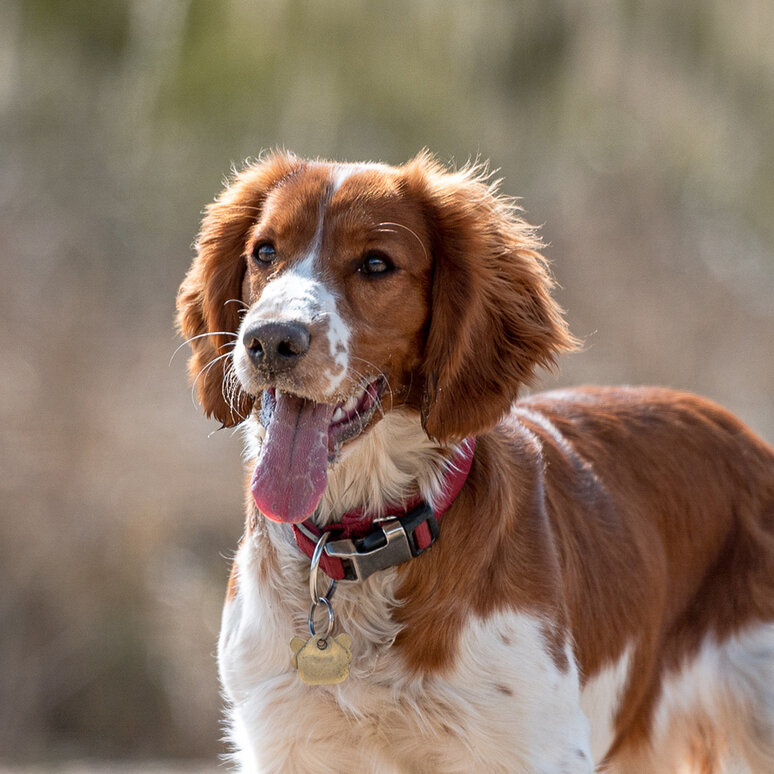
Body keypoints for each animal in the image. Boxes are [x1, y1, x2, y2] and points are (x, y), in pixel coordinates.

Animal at [177, 149, 774, 772]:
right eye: (265, 252)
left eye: (375, 263)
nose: (271, 340)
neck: (362, 541)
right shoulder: (286, 741)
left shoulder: (537, 746)